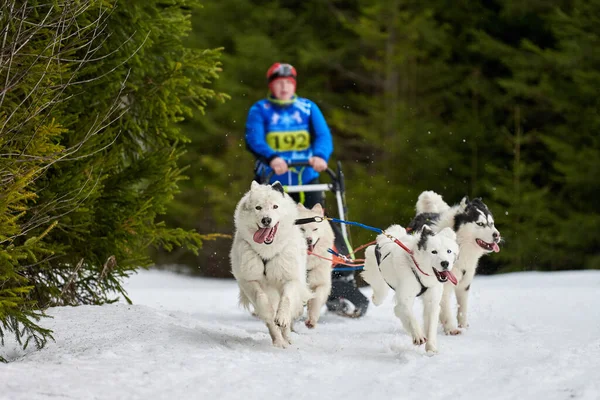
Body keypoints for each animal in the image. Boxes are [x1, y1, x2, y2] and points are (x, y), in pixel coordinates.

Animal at [230, 181, 312, 346]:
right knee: (271, 322)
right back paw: (278, 342)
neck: (267, 251)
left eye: (275, 206)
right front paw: (269, 315)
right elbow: (262, 299)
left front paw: (282, 318)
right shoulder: (249, 280)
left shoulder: (290, 278)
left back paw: (287, 339)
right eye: (258, 207)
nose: (266, 220)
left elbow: (286, 300)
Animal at [360, 225, 460, 354]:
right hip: (376, 270)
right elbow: (410, 316)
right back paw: (376, 298)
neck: (418, 270)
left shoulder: (432, 302)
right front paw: (418, 335)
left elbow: (431, 324)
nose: (445, 263)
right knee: (379, 289)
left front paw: (431, 348)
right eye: (434, 251)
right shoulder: (404, 301)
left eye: (449, 251)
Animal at [408, 191, 502, 334]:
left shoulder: (464, 284)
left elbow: (462, 307)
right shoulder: (443, 284)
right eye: (480, 224)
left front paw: (463, 326)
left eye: (492, 223)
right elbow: (446, 308)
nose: (497, 235)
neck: (460, 247)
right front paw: (452, 329)